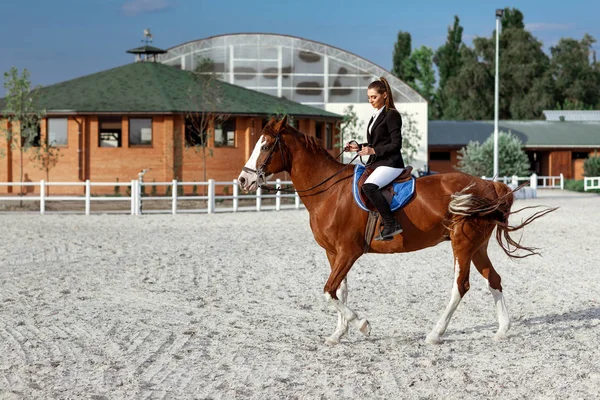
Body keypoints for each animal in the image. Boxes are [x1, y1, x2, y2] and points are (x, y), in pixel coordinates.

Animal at [237, 116, 556, 346]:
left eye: (265, 146)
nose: (242, 180)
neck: (329, 192)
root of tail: (489, 185)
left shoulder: (348, 252)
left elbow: (329, 291)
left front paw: (362, 325)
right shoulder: (334, 253)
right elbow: (340, 291)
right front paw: (338, 334)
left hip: (462, 243)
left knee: (460, 286)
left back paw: (434, 334)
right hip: (477, 246)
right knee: (494, 279)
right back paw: (502, 330)